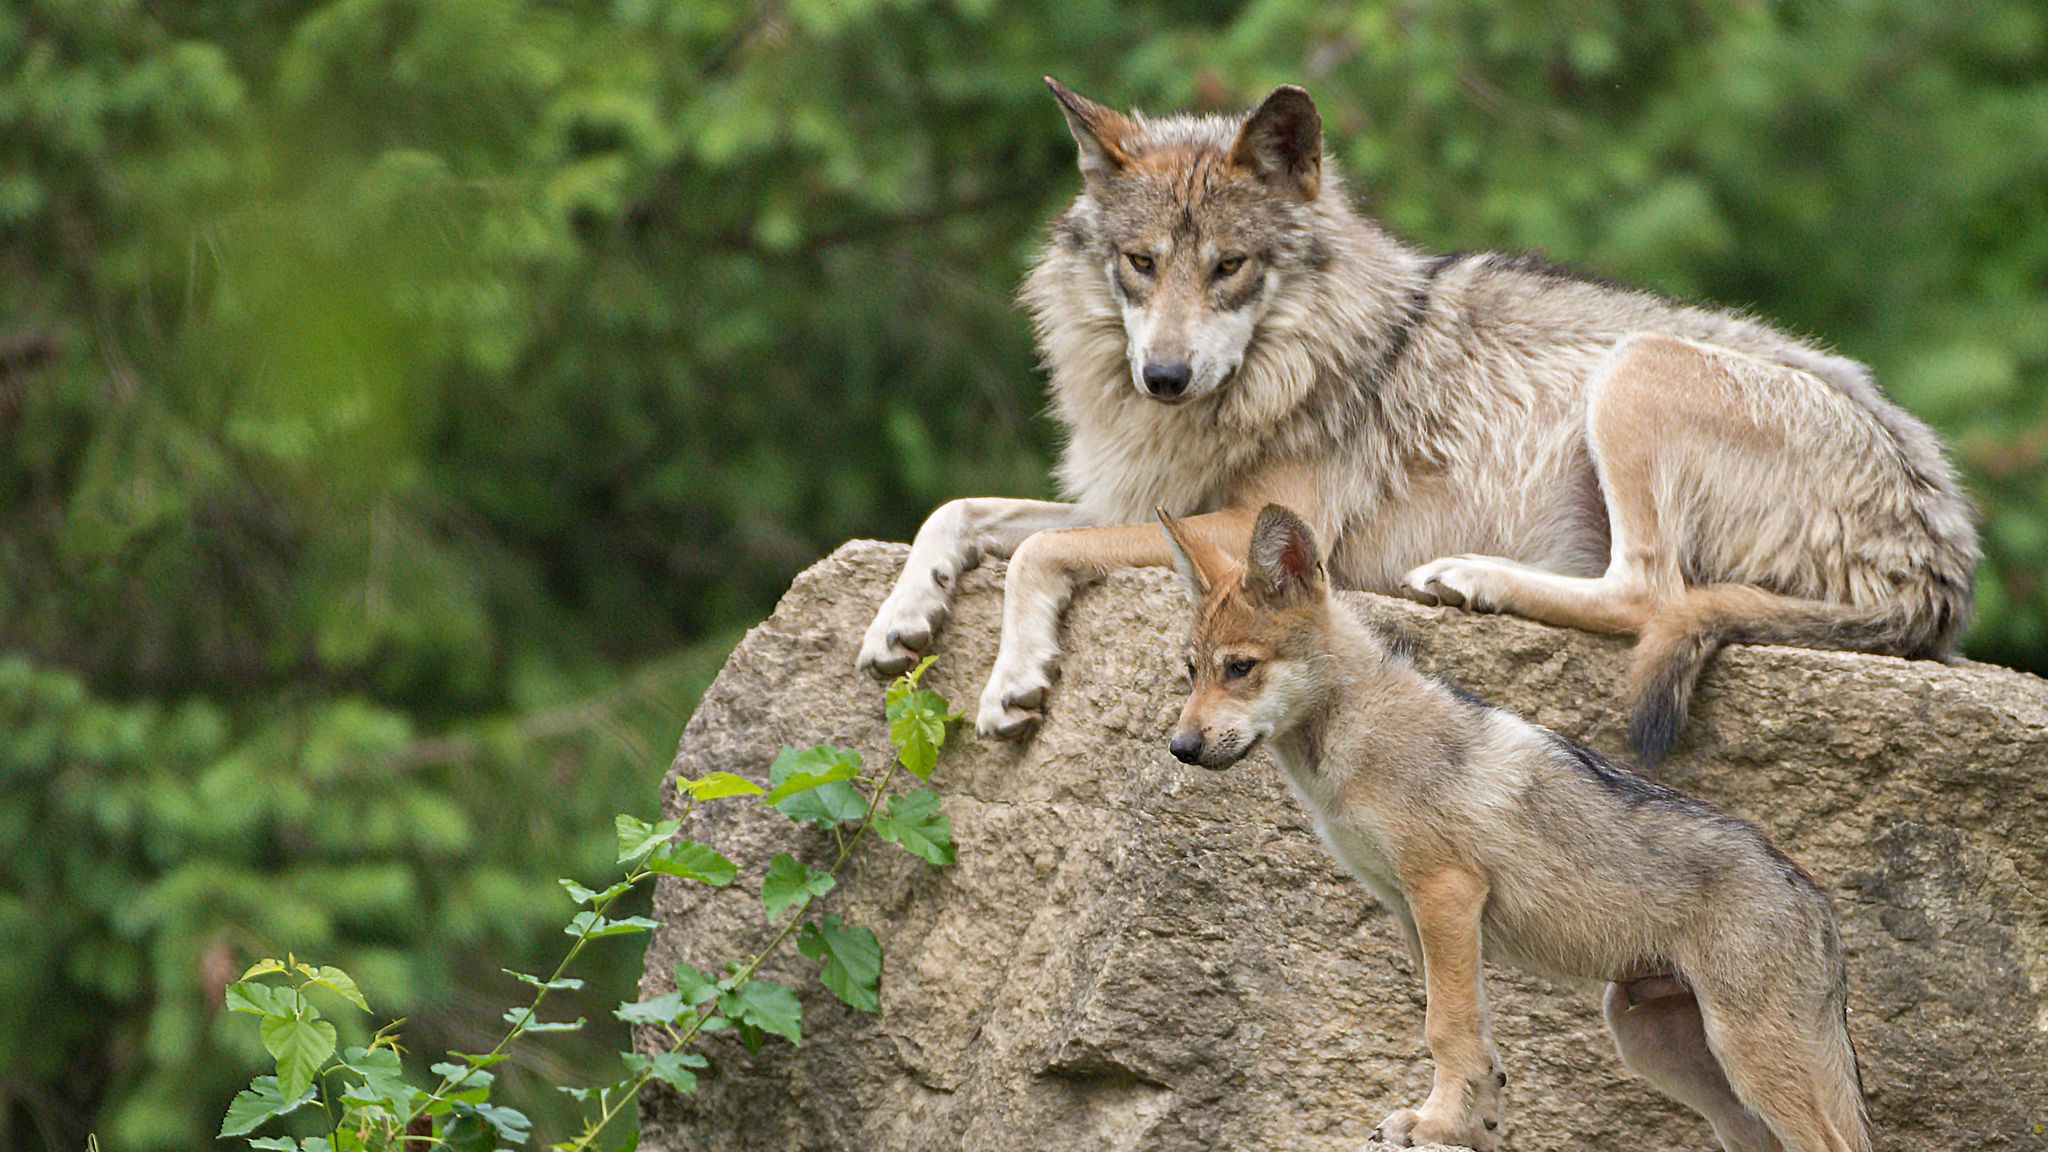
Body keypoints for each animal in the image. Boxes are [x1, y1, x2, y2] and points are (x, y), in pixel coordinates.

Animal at [856, 78, 1974, 762]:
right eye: (1140, 263)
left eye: (1229, 266)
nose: (1163, 375)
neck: (1275, 368)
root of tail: (1940, 565)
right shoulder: (1138, 500)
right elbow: (960, 511)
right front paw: (900, 616)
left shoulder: (1254, 528)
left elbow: (1038, 553)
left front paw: (1011, 678)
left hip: (1633, 370)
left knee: (1648, 593)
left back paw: (1471, 579)